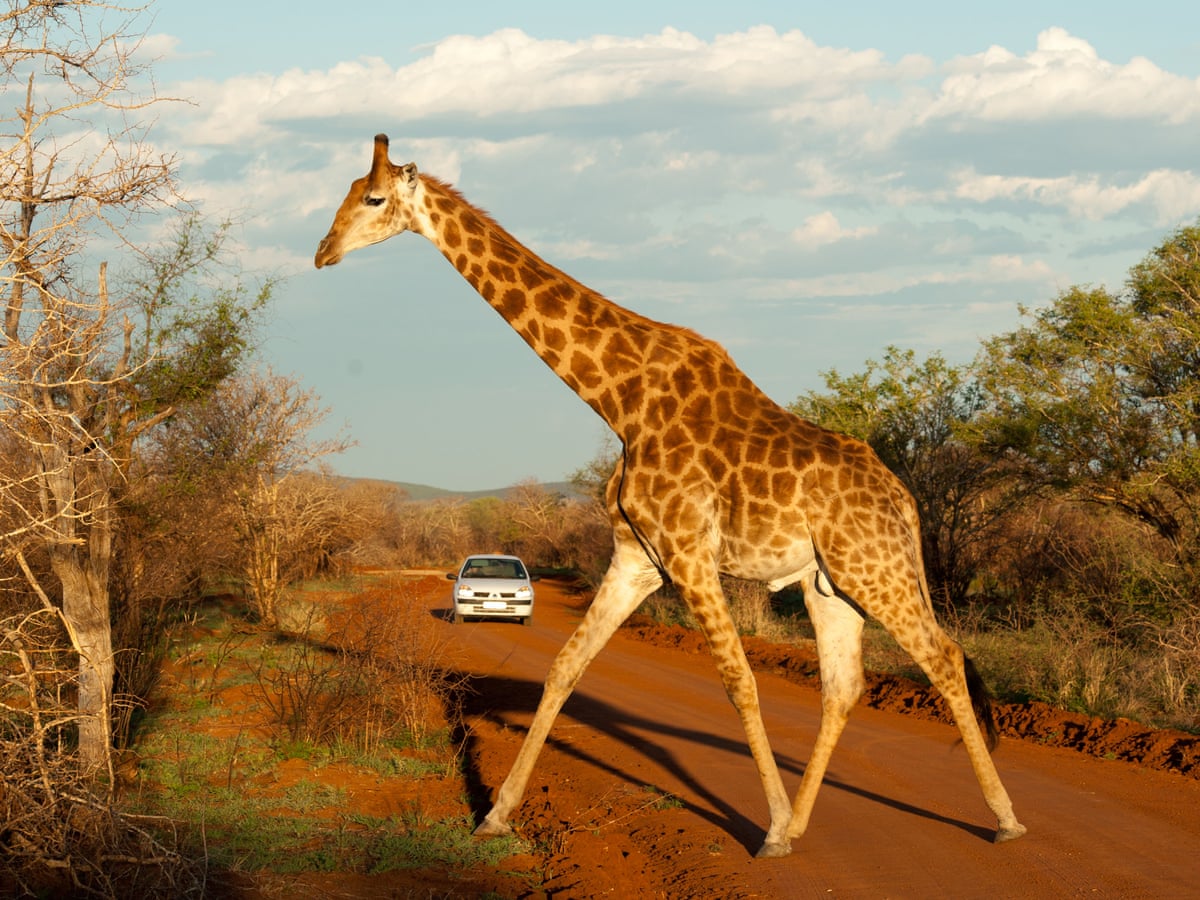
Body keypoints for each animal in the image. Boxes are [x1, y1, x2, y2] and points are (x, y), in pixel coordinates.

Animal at [314, 135, 1027, 859]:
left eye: (373, 198)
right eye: (346, 193)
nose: (322, 253)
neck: (619, 398)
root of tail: (904, 499)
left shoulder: (688, 553)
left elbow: (739, 680)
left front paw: (769, 831)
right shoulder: (638, 557)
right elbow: (565, 667)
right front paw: (496, 815)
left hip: (873, 566)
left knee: (943, 657)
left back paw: (1004, 820)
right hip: (829, 583)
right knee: (844, 685)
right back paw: (807, 820)